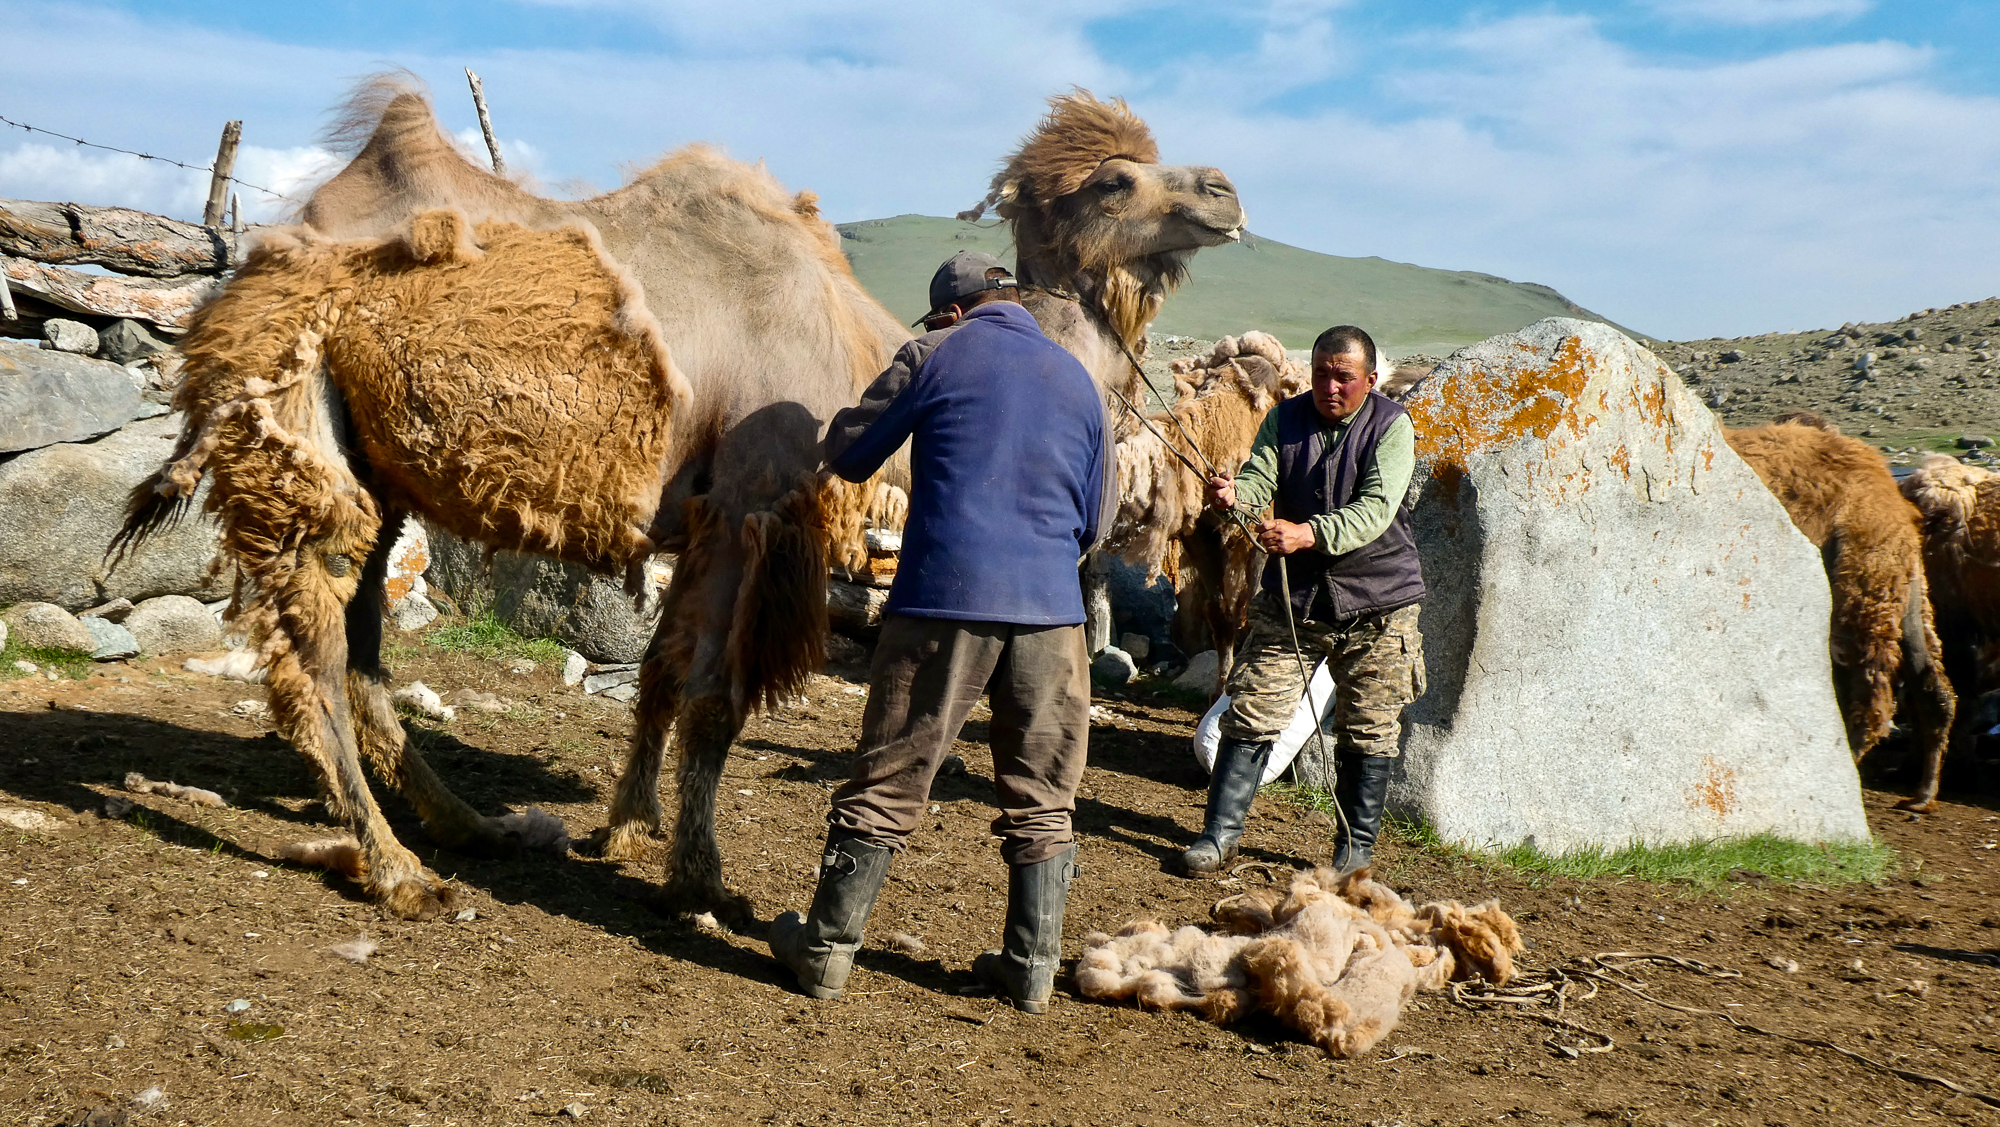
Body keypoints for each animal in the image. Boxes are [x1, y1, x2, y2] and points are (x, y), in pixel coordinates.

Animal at [112, 78, 1241, 923]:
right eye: (1115, 179)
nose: (1226, 192)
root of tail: (236, 281)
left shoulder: (702, 517)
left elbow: (658, 673)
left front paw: (626, 824)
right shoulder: (754, 499)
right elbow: (712, 696)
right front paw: (698, 877)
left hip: (379, 475)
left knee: (359, 651)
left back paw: (471, 827)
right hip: (296, 432)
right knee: (308, 653)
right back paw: (401, 870)